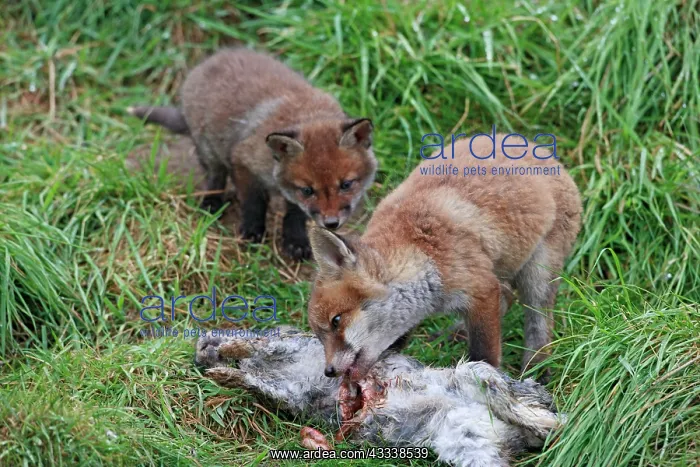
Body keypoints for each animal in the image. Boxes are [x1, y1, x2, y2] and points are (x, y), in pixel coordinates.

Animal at [128, 48, 377, 259]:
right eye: (308, 190)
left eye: (346, 185)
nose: (331, 223)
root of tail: (217, 55)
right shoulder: (242, 161)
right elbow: (253, 202)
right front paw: (252, 231)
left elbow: (295, 214)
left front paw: (296, 240)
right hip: (209, 150)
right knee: (215, 176)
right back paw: (212, 202)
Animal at [307, 133, 582, 382]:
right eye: (319, 335)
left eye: (336, 321)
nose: (328, 371)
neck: (422, 252)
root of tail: (541, 150)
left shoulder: (481, 288)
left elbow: (485, 354)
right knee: (507, 297)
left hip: (538, 274)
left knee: (538, 323)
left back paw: (537, 370)